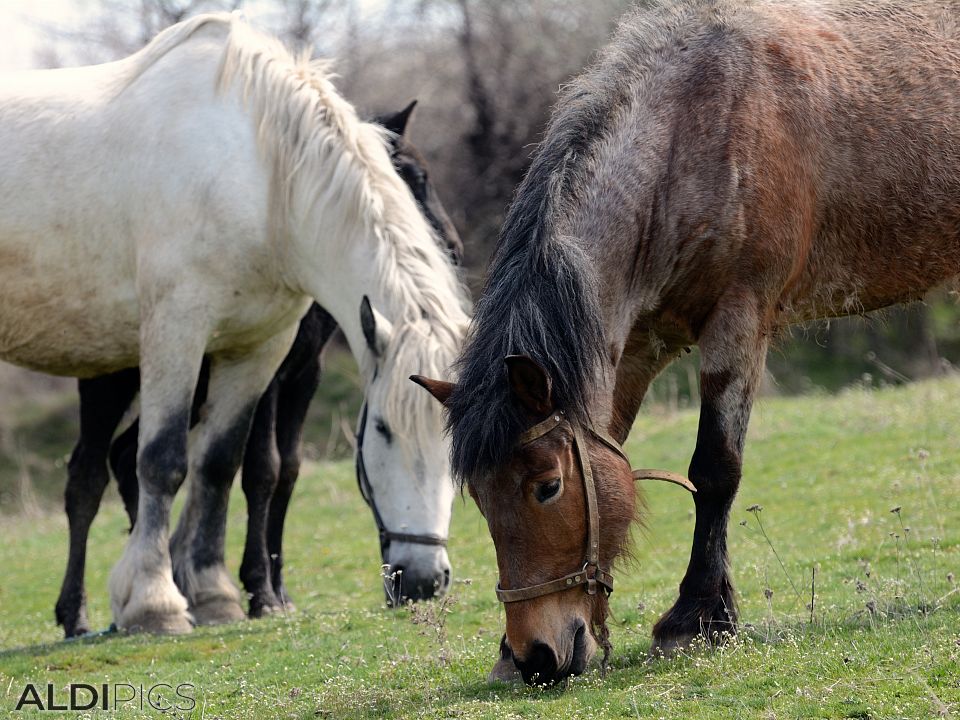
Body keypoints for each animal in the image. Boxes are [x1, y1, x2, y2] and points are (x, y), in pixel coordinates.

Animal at [0, 14, 468, 632]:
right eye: (384, 430)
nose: (423, 580)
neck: (257, 175)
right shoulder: (177, 330)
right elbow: (164, 461)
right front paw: (157, 601)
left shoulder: (259, 349)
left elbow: (222, 464)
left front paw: (211, 594)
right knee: (91, 476)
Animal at [412, 0, 960, 688]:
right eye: (480, 499)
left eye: (547, 485)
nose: (535, 655)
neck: (691, 135)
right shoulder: (634, 346)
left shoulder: (738, 323)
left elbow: (715, 471)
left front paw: (697, 617)